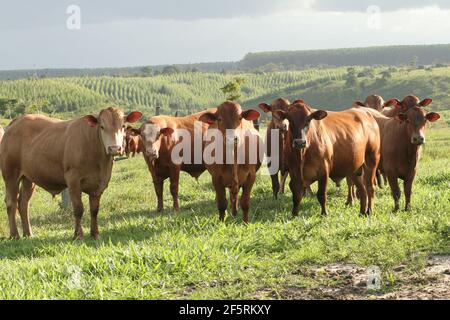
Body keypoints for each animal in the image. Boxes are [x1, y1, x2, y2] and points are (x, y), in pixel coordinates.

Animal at [0, 107, 142, 240]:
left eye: (123, 126)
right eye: (102, 127)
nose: (114, 148)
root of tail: (16, 122)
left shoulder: (99, 183)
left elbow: (94, 210)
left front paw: (95, 234)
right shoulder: (73, 179)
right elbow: (78, 209)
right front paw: (78, 235)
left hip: (28, 178)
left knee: (23, 203)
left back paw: (28, 233)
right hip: (10, 174)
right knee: (11, 202)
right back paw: (15, 235)